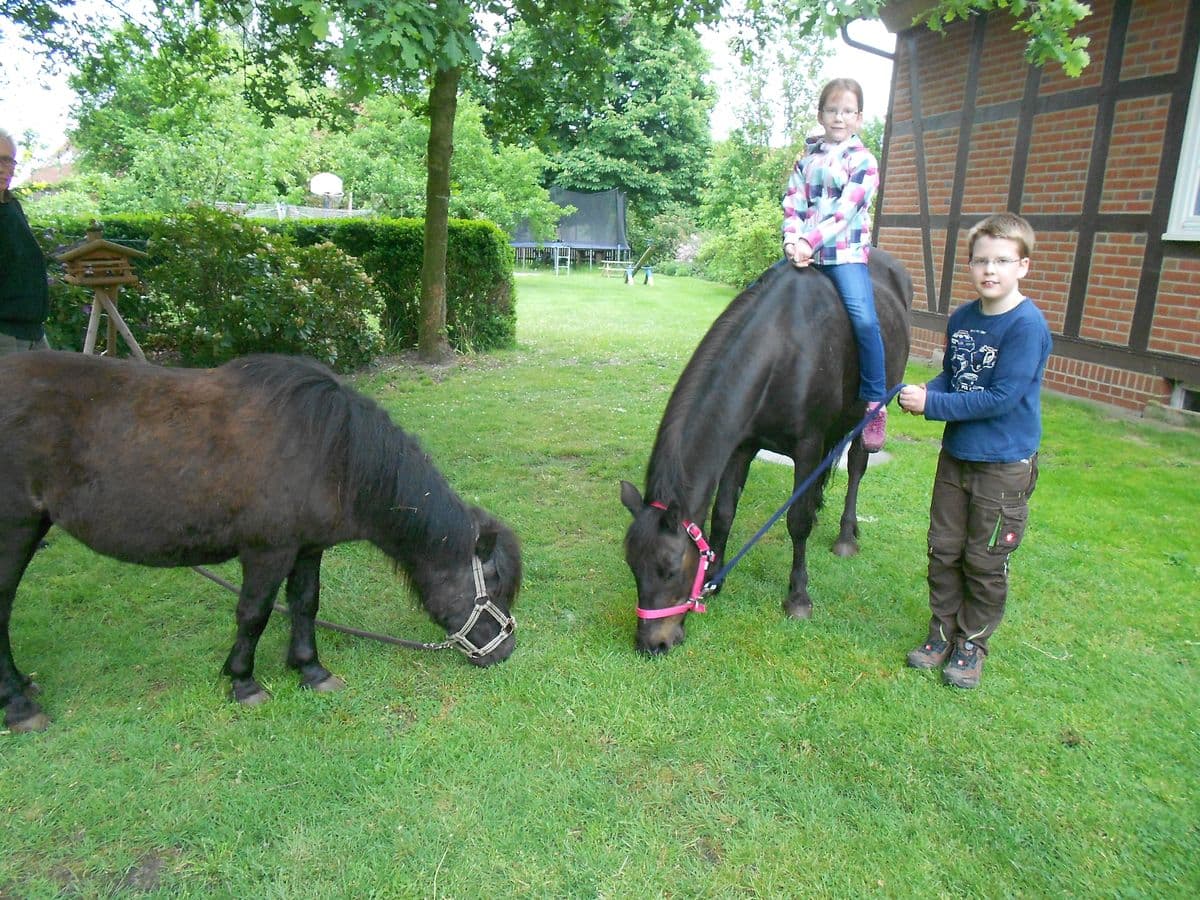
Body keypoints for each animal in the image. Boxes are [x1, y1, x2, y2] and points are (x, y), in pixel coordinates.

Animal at [2, 352, 523, 734]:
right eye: (493, 584)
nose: (505, 652)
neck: (330, 449)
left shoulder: (307, 549)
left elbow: (306, 604)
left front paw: (310, 670)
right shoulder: (267, 552)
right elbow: (254, 614)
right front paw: (243, 682)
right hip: (15, 529)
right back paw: (18, 705)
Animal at [628, 250, 907, 657]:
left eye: (670, 570)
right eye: (633, 567)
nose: (652, 644)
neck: (782, 349)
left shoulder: (808, 447)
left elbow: (797, 521)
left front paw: (798, 598)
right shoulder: (741, 445)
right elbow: (724, 513)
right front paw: (716, 577)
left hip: (867, 415)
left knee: (856, 467)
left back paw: (846, 536)